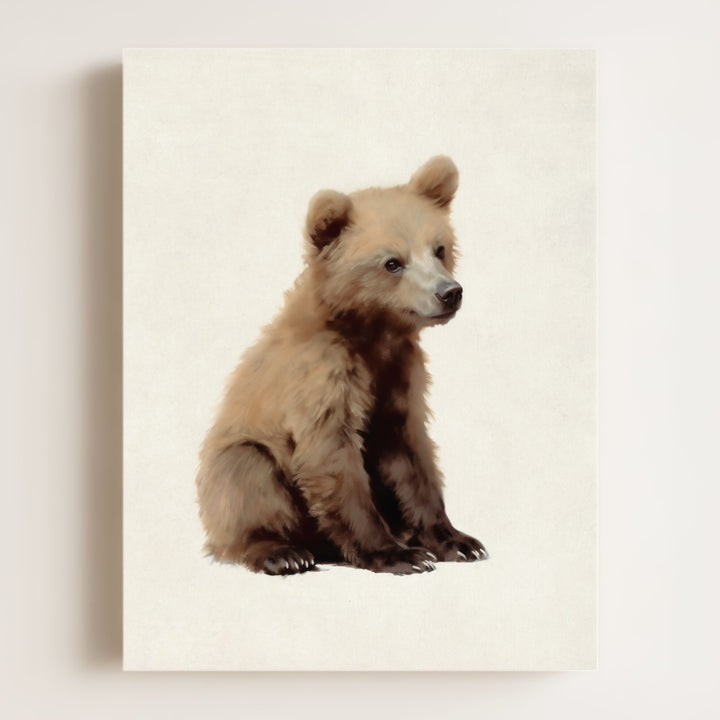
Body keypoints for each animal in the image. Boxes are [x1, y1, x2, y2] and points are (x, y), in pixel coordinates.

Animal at [196, 156, 488, 575]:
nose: (449, 293)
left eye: (439, 248)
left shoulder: (398, 375)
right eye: (392, 262)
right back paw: (283, 552)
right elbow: (332, 456)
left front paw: (457, 541)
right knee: (245, 473)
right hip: (238, 462)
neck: (372, 333)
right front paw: (398, 554)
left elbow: (411, 455)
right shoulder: (321, 374)